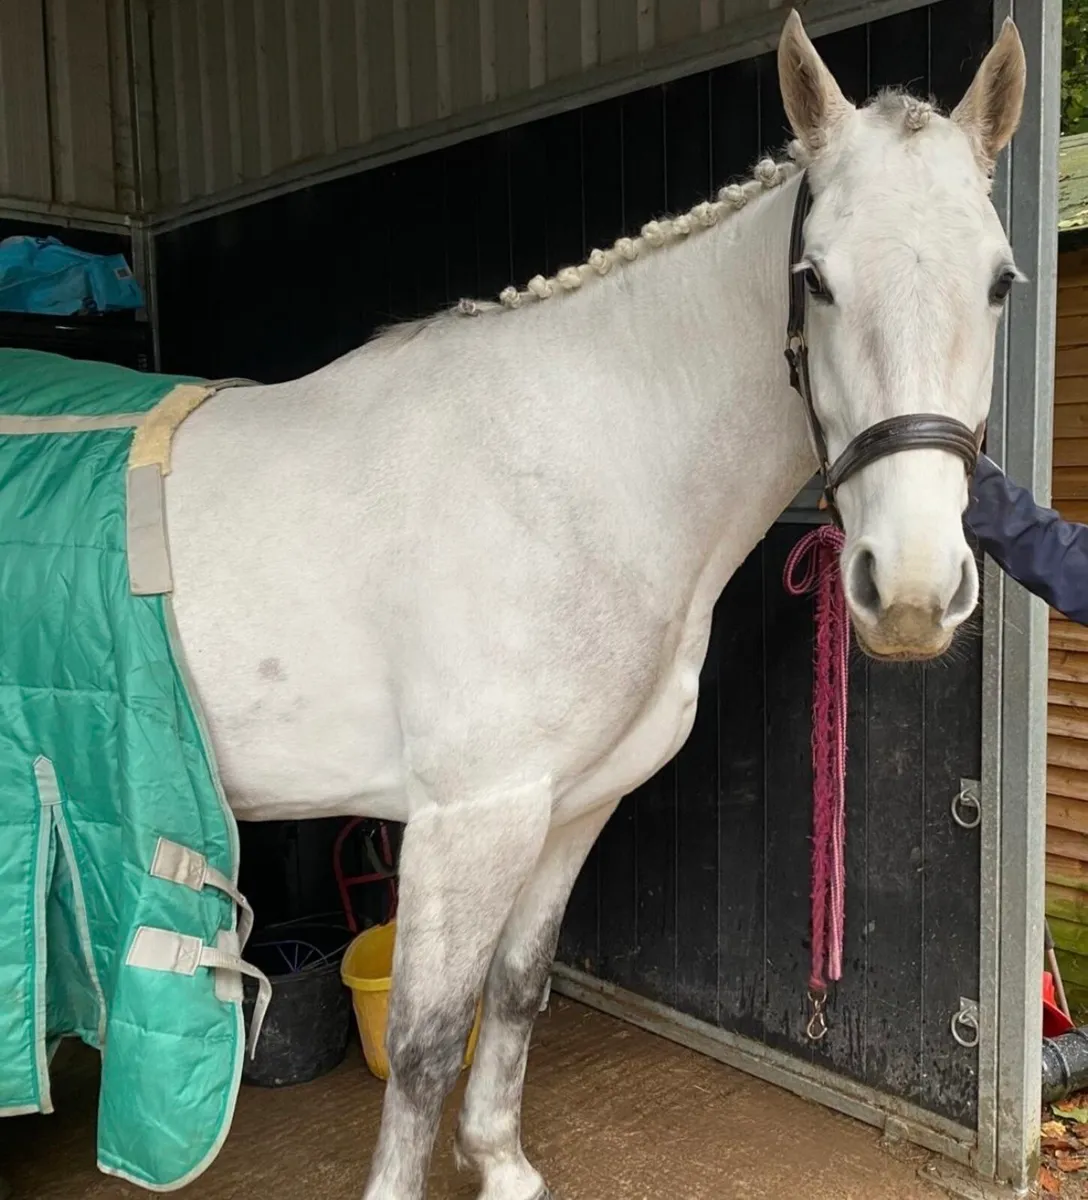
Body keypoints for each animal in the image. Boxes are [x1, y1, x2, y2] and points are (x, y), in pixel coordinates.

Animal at [161, 11, 1026, 1198]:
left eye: (999, 283)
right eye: (814, 278)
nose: (906, 593)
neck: (571, 464)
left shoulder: (571, 806)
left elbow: (520, 987)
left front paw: (501, 1163)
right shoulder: (466, 821)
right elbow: (425, 1045)